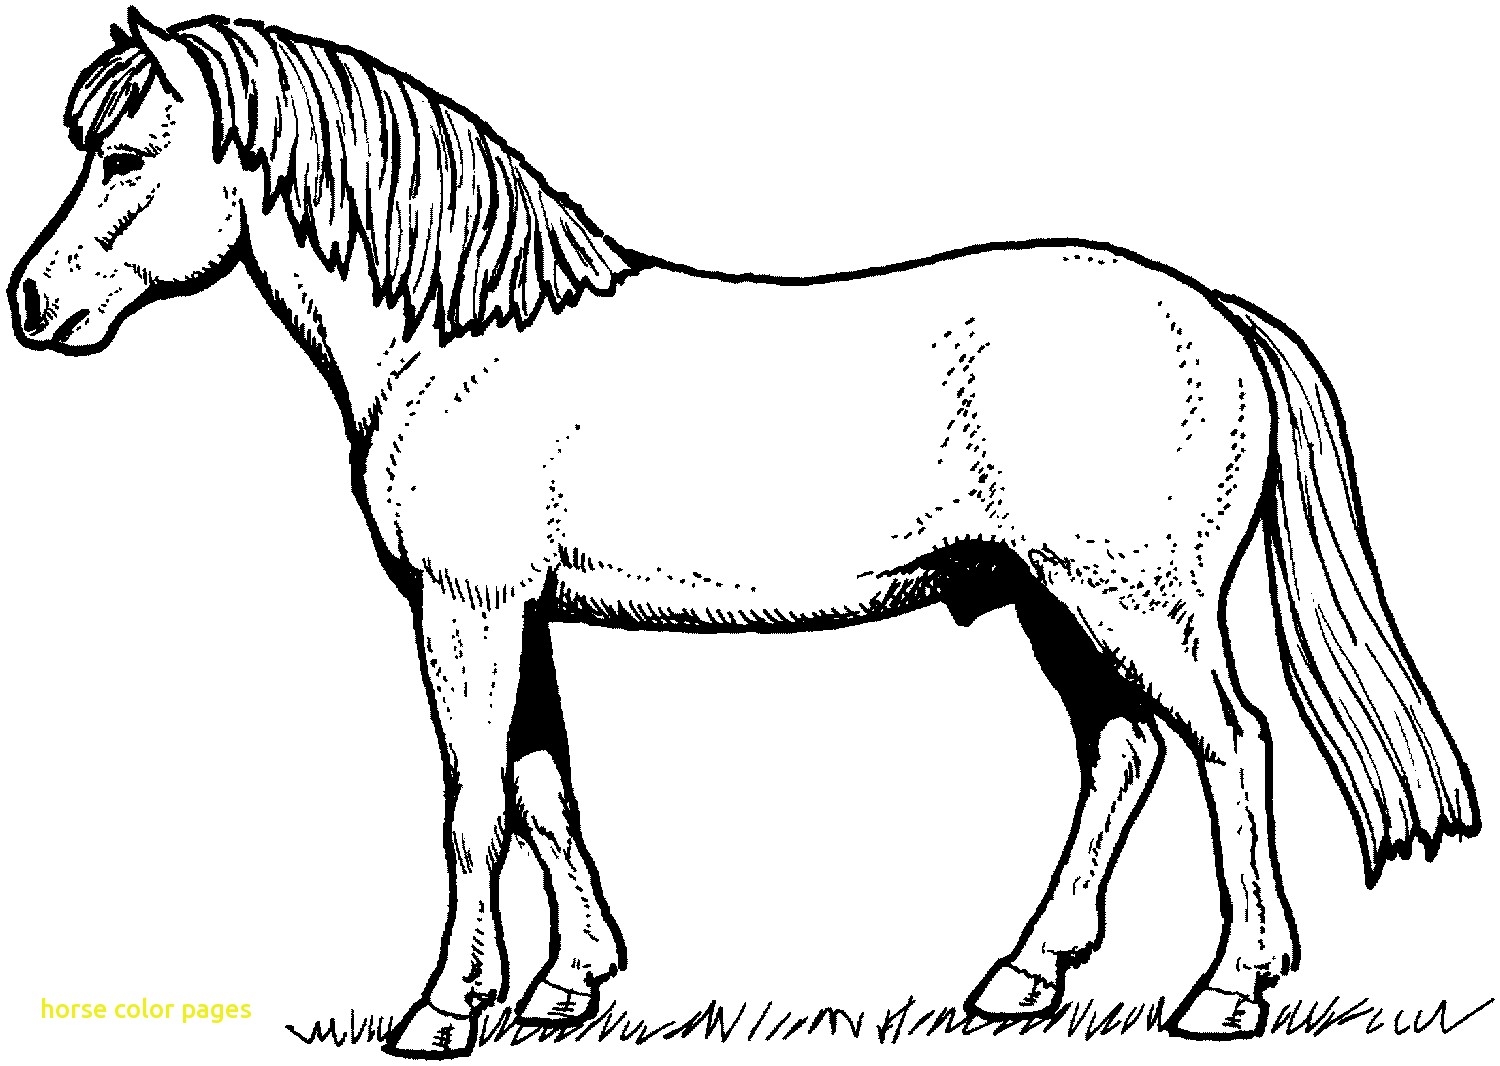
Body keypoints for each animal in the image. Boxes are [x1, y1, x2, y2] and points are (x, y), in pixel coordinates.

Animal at [9, 9, 1479, 1057]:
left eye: (126, 157)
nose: (32, 301)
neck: (464, 337)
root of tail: (1211, 313)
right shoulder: (516, 610)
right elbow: (543, 785)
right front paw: (566, 983)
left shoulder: (465, 603)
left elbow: (474, 803)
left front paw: (443, 1010)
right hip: (1054, 601)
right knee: (1122, 753)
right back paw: (1022, 975)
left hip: (1133, 601)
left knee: (1234, 744)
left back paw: (1230, 990)